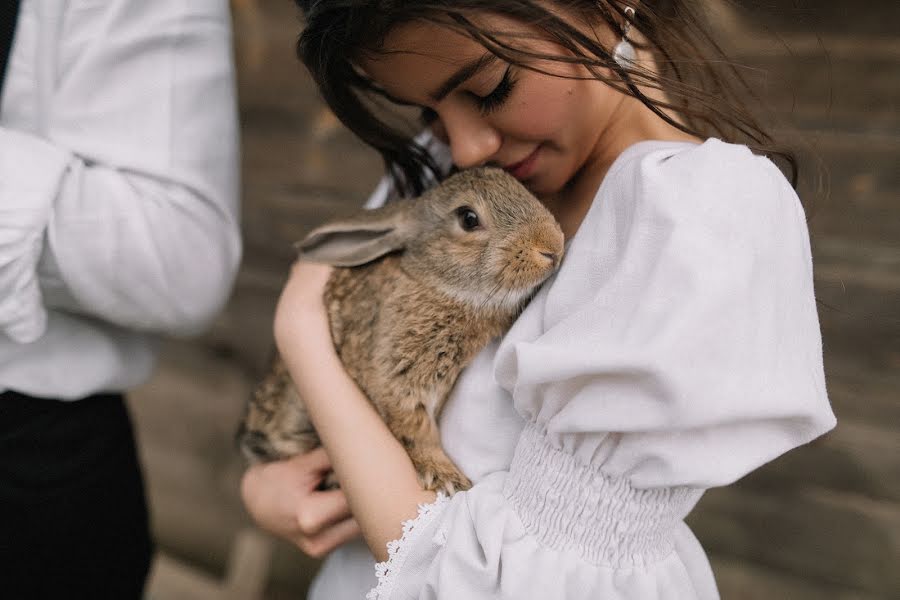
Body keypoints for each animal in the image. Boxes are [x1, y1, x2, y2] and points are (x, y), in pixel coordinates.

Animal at [239, 166, 564, 494]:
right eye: (468, 218)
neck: (438, 284)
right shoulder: (394, 378)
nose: (553, 247)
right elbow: (414, 428)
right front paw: (446, 476)